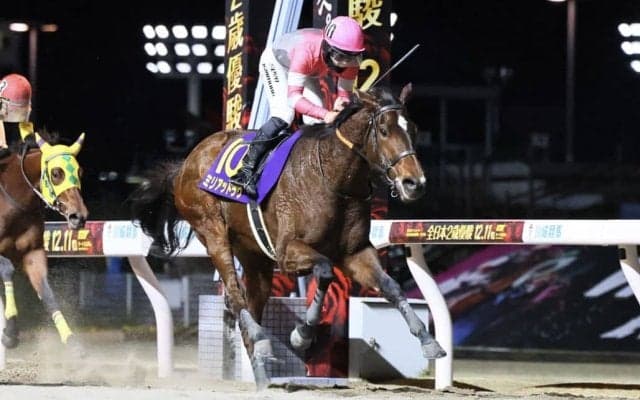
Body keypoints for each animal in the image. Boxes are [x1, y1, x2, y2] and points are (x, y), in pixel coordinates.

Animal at [0, 130, 88, 352]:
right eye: (56, 173)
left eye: (80, 172)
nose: (79, 216)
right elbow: (7, 269)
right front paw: (10, 332)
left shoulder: (33, 252)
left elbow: (46, 292)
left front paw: (69, 338)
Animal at [129, 84, 446, 389]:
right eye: (383, 129)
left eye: (413, 128)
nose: (414, 183)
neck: (334, 177)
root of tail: (185, 164)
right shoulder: (288, 251)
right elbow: (325, 270)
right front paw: (301, 334)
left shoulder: (355, 253)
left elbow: (391, 286)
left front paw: (429, 342)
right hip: (212, 231)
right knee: (234, 294)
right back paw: (261, 341)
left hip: (254, 255)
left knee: (252, 303)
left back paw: (262, 372)